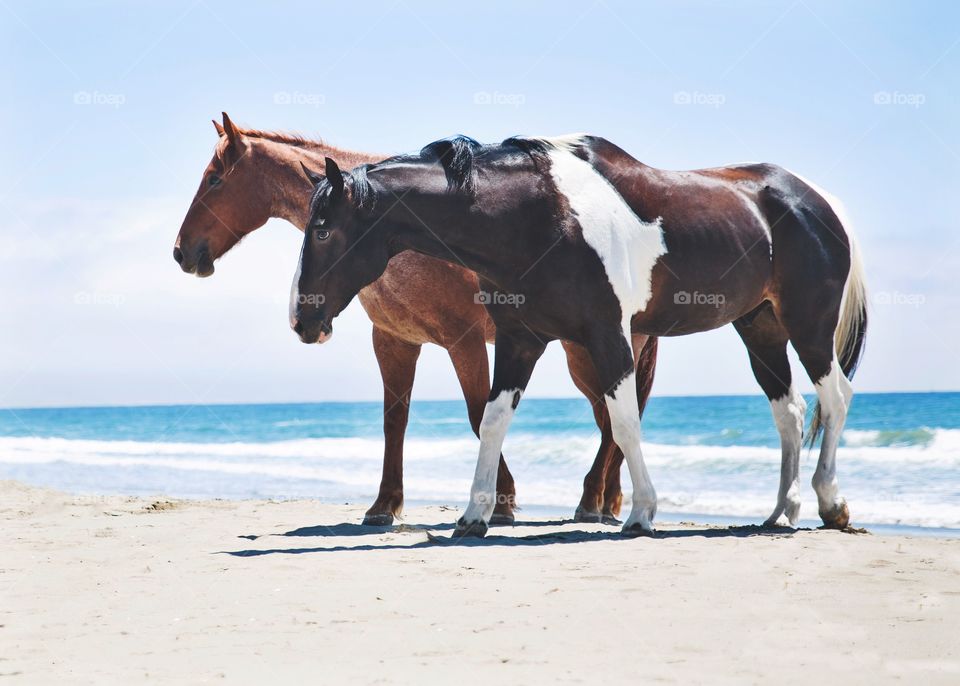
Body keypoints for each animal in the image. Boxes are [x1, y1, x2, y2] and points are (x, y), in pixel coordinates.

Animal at [171, 117, 660, 528]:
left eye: (214, 180)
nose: (181, 251)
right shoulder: (394, 342)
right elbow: (395, 420)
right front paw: (384, 504)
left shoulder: (464, 342)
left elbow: (477, 413)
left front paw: (500, 502)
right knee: (610, 417)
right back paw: (606, 501)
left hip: (590, 348)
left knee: (613, 418)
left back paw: (594, 501)